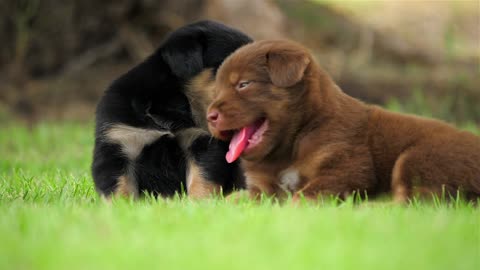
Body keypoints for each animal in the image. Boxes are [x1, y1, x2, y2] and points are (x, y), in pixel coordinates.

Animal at [92, 20, 253, 198]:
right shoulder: (119, 143)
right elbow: (120, 188)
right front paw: (120, 204)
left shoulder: (199, 143)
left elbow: (201, 179)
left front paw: (199, 202)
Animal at [206, 39, 480, 201]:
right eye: (216, 90)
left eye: (243, 84)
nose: (210, 116)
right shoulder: (261, 187)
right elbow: (233, 199)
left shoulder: (346, 169)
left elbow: (304, 195)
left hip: (419, 157)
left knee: (418, 199)